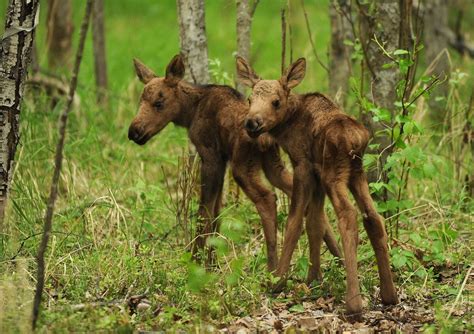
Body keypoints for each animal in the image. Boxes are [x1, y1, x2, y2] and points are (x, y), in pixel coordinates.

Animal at [126, 53, 340, 270]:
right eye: (140, 100)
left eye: (159, 103)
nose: (134, 132)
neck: (190, 113)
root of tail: (266, 134)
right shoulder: (222, 159)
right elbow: (217, 211)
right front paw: (211, 262)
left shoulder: (210, 155)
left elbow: (205, 210)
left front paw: (196, 261)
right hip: (272, 163)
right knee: (299, 196)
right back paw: (338, 257)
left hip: (242, 166)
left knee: (268, 198)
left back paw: (272, 266)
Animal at [236, 56, 396, 318]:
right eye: (250, 99)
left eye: (276, 101)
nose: (252, 123)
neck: (288, 128)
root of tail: (355, 141)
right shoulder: (316, 172)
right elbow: (315, 223)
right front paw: (313, 278)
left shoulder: (303, 165)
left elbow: (295, 221)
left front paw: (278, 280)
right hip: (356, 174)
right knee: (373, 217)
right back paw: (389, 294)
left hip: (335, 175)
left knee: (348, 215)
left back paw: (353, 303)